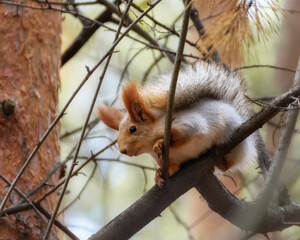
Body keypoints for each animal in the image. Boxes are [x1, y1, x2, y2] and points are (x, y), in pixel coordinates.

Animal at [97, 61, 256, 186]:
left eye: (133, 129)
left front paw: (159, 143)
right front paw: (158, 175)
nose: (122, 150)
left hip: (236, 144)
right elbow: (172, 169)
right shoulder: (171, 160)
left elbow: (184, 134)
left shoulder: (189, 124)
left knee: (228, 164)